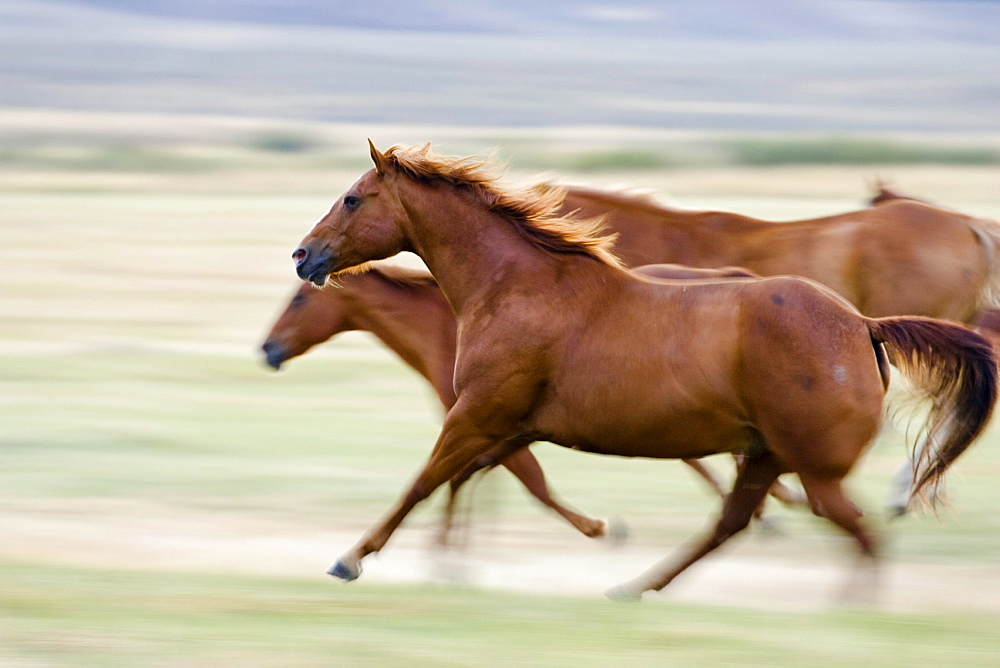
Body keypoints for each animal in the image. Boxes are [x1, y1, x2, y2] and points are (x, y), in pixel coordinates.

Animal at [260, 260, 804, 544]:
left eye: (300, 300)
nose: (267, 349)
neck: (454, 325)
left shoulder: (484, 423)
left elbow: (529, 486)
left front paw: (599, 527)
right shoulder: (499, 428)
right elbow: (476, 480)